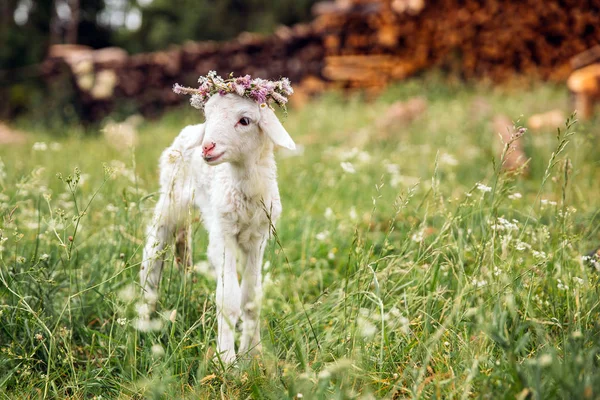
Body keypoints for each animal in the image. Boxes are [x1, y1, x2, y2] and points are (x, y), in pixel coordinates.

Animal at [141, 73, 296, 364]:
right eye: (208, 115)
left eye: (244, 120)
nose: (207, 147)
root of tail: (188, 130)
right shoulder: (225, 233)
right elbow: (228, 299)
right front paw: (226, 359)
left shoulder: (258, 238)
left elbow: (250, 298)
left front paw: (253, 354)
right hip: (171, 196)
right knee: (154, 248)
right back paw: (146, 314)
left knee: (183, 245)